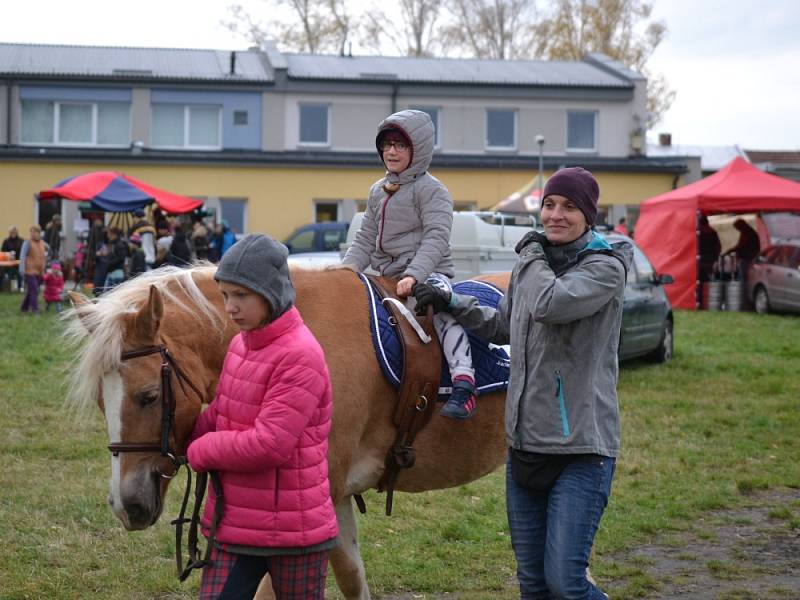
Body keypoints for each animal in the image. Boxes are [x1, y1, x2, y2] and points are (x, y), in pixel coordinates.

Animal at [65, 264, 510, 596]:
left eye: (149, 396)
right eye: (102, 401)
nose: (126, 505)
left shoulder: (323, 495)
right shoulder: (334, 498)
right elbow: (352, 578)